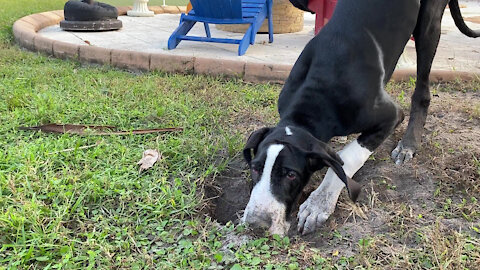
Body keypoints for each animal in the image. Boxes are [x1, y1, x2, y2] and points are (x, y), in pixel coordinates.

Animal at [242, 0, 478, 235]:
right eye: (255, 168)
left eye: (291, 175)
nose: (256, 225)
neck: (311, 103)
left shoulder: (391, 115)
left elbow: (348, 158)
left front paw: (319, 203)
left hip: (428, 24)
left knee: (422, 90)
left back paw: (408, 144)